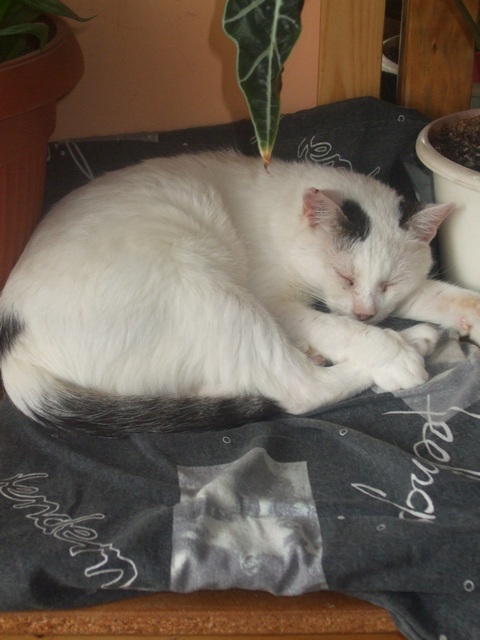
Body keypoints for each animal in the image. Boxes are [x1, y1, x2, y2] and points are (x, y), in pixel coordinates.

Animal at [1, 150, 479, 437]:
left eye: (388, 282)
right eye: (344, 276)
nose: (366, 312)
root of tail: (15, 354)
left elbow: (439, 295)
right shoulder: (278, 302)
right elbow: (336, 327)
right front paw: (386, 348)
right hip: (208, 287)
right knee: (298, 390)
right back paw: (413, 342)